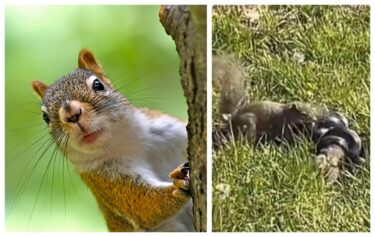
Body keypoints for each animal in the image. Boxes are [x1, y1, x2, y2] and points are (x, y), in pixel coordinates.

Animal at [31, 48, 194, 231]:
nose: (71, 114)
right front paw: (178, 185)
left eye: (98, 85)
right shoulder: (106, 180)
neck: (125, 143)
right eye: (45, 117)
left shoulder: (171, 129)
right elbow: (143, 204)